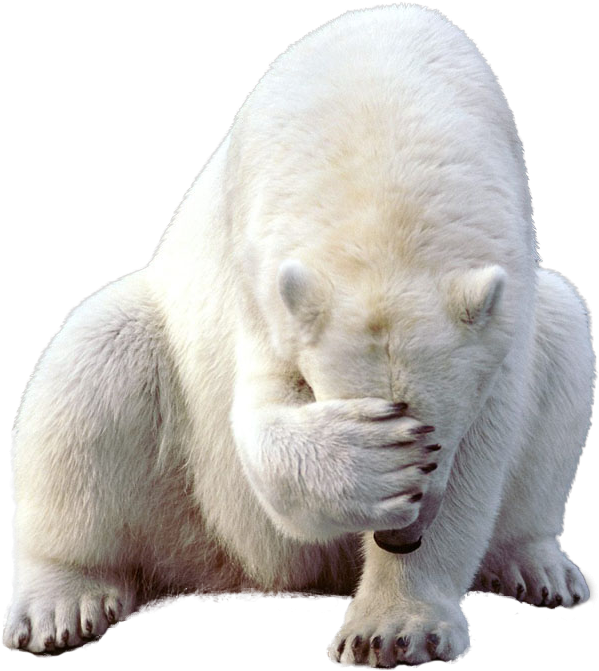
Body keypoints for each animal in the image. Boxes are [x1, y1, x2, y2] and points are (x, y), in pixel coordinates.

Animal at [2, 4, 594, 667]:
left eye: (438, 436)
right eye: (402, 428)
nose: (400, 538)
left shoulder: (506, 302)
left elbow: (486, 447)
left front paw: (392, 631)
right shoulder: (260, 275)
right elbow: (259, 418)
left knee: (566, 340)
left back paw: (536, 567)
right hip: (178, 472)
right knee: (93, 363)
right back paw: (60, 604)